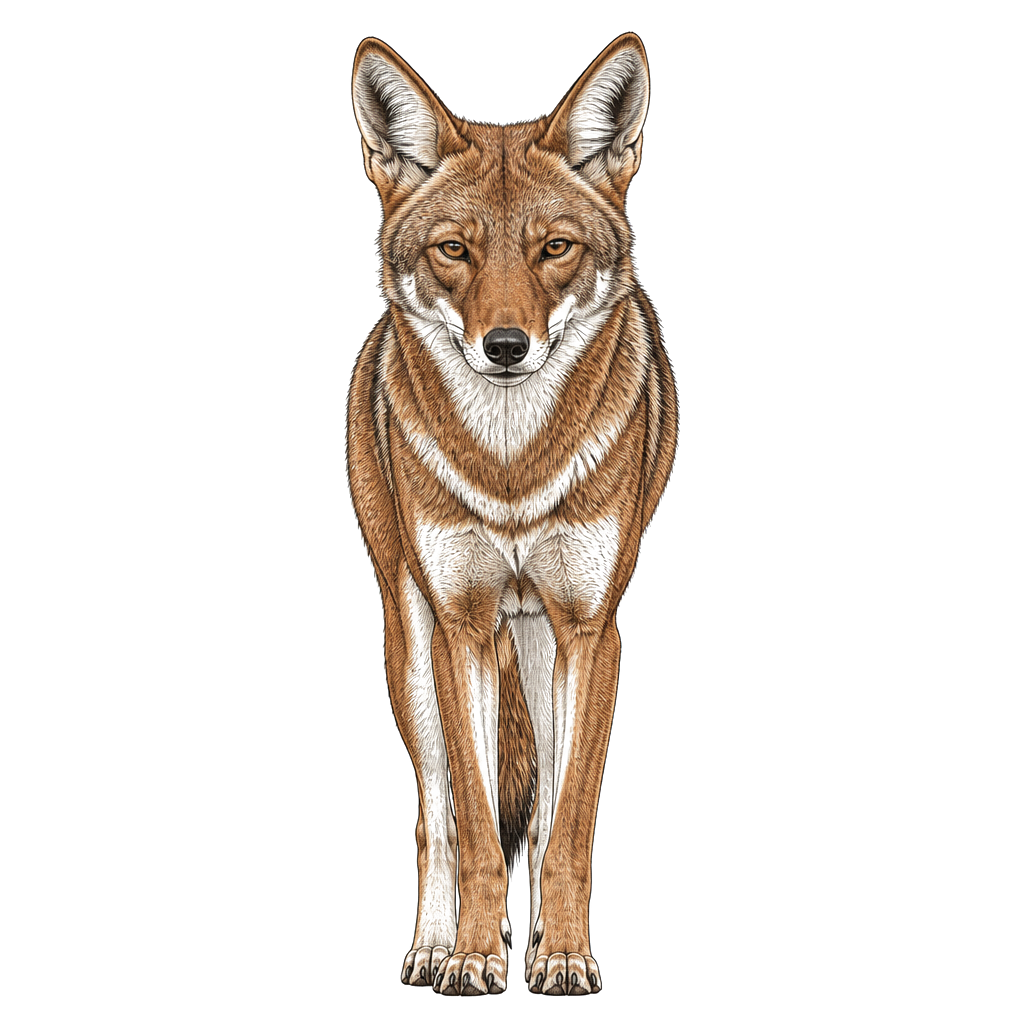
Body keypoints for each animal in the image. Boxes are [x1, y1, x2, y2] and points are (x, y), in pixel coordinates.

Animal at [347, 32, 677, 995]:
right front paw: (467, 956)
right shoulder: (458, 626)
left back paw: (529, 941)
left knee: (540, 804)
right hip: (410, 643)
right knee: (441, 817)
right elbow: (474, 826)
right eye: (455, 250)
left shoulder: (593, 632)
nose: (505, 346)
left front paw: (562, 953)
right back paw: (435, 944)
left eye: (554, 248)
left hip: (535, 641)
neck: (511, 467)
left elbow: (566, 830)